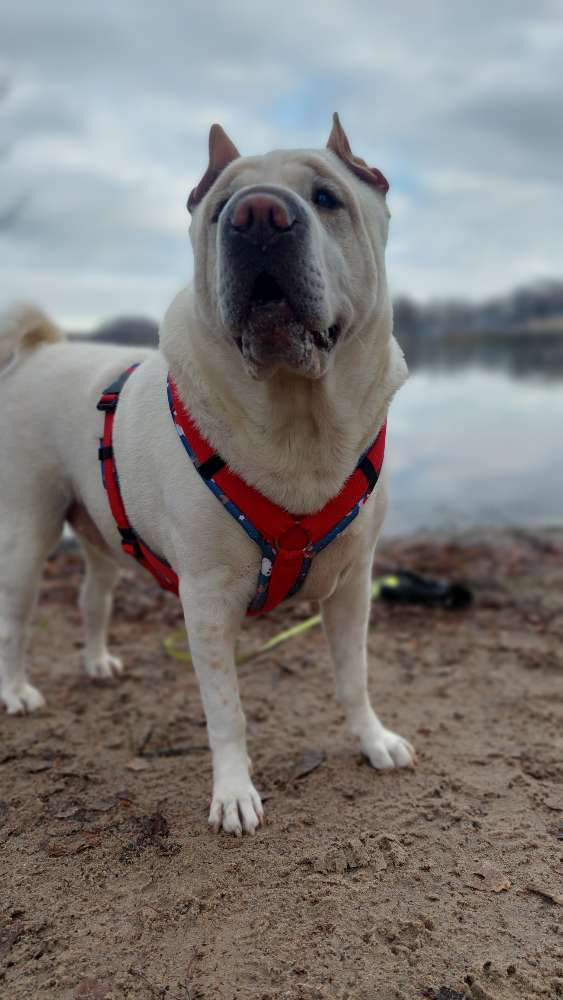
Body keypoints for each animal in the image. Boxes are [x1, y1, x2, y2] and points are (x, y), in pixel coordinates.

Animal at [0, 115, 414, 836]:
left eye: (327, 198)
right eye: (221, 209)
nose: (257, 216)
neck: (298, 423)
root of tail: (44, 351)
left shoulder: (352, 587)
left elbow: (354, 676)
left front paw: (371, 740)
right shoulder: (208, 603)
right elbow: (227, 710)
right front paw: (234, 792)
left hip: (102, 531)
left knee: (92, 597)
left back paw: (97, 660)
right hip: (27, 534)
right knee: (15, 623)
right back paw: (18, 691)